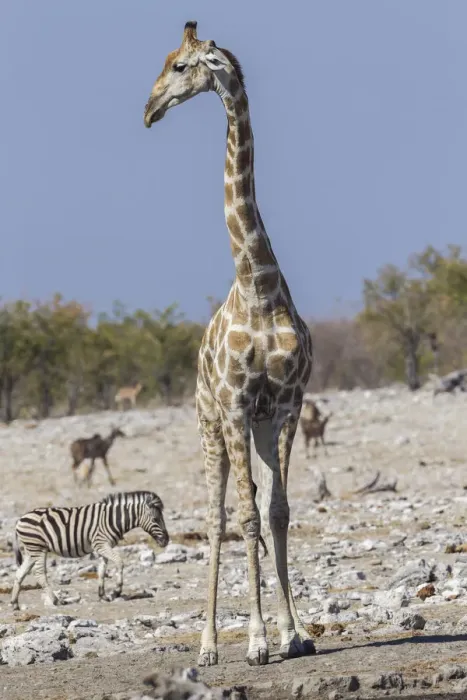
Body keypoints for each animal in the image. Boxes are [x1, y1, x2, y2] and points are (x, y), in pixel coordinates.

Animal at [144, 21, 315, 667]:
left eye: (180, 66)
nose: (149, 109)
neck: (258, 286)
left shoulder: (285, 405)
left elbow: (277, 511)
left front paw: (293, 633)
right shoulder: (238, 405)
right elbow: (242, 516)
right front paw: (258, 642)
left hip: (258, 429)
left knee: (259, 509)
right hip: (209, 426)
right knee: (216, 518)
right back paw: (210, 646)